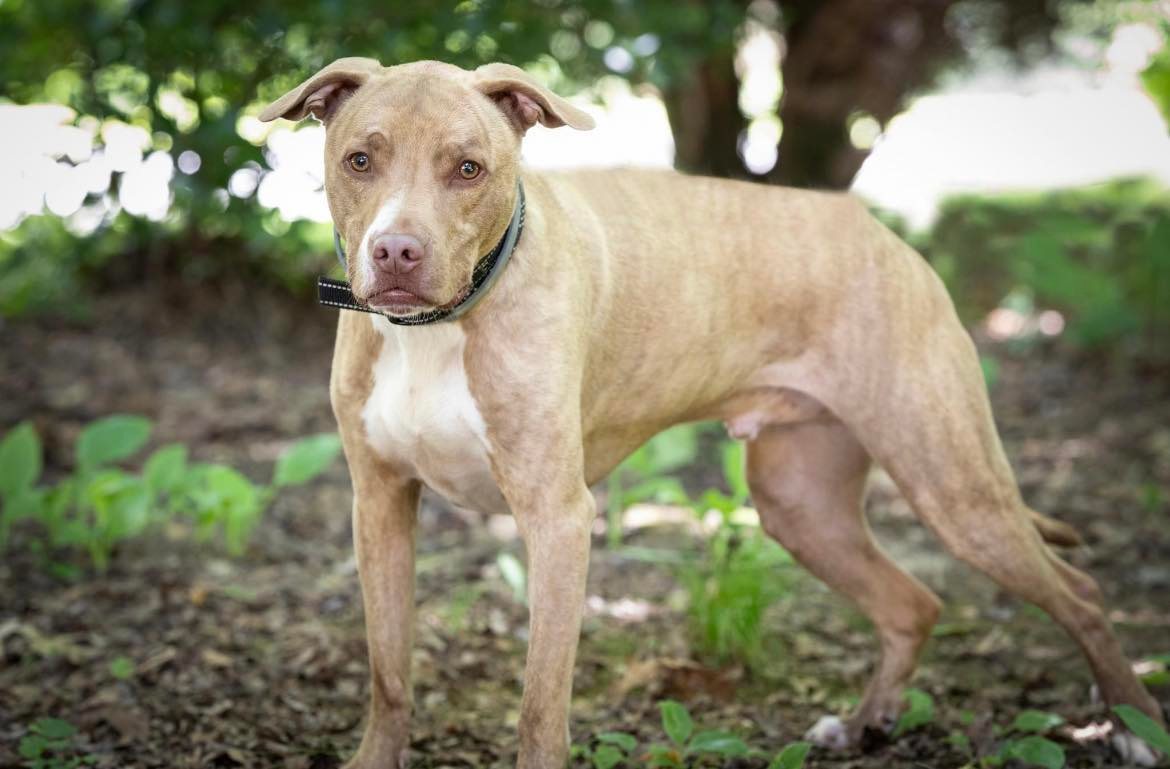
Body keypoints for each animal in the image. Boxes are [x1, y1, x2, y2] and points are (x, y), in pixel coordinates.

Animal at [260, 57, 1165, 763]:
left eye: (469, 169)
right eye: (360, 158)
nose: (395, 251)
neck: (440, 325)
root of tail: (882, 232)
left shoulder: (557, 516)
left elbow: (539, 704)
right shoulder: (379, 501)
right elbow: (389, 674)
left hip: (953, 481)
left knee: (1078, 591)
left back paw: (1132, 727)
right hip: (801, 501)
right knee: (914, 603)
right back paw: (864, 724)